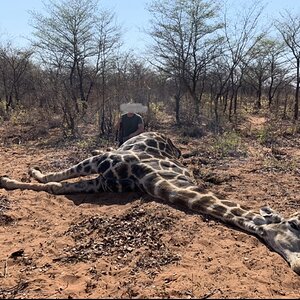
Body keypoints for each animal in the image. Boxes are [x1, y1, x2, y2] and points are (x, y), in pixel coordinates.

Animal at [0, 131, 300, 274]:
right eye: (296, 225)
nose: (298, 266)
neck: (147, 176)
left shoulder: (103, 182)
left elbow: (56, 186)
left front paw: (14, 179)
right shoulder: (104, 162)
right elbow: (55, 178)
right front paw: (15, 176)